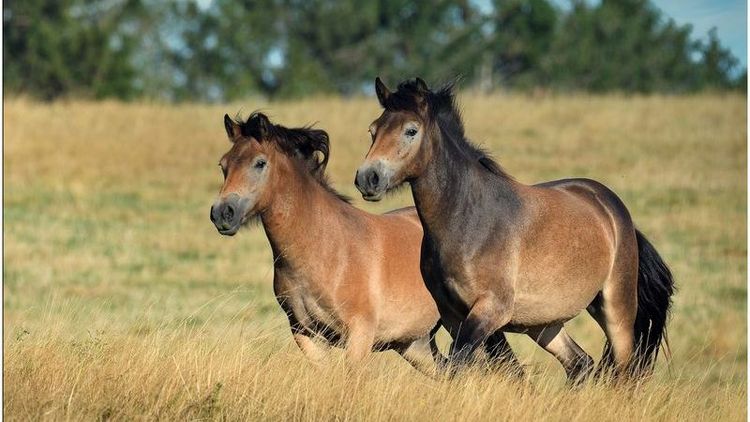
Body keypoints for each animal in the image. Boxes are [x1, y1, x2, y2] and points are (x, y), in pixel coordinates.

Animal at [210, 111, 452, 372]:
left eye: (260, 163)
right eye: (223, 165)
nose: (222, 213)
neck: (326, 247)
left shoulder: (359, 335)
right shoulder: (305, 334)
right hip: (416, 344)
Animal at [356, 78, 680, 382]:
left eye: (411, 131)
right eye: (373, 130)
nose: (368, 178)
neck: (468, 221)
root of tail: (613, 209)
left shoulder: (489, 311)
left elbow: (465, 364)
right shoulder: (451, 315)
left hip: (617, 309)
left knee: (623, 370)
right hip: (544, 324)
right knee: (580, 364)